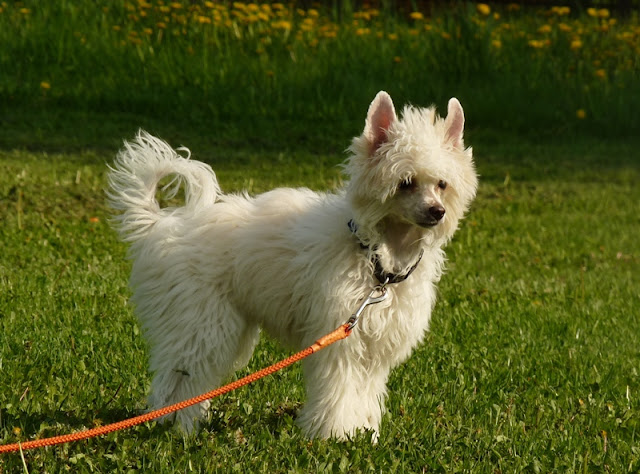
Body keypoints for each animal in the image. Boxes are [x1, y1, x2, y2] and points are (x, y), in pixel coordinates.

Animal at [107, 91, 478, 440]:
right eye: (405, 183)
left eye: (442, 184)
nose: (437, 211)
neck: (376, 256)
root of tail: (162, 224)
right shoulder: (339, 342)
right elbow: (340, 393)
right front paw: (335, 435)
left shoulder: (373, 349)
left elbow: (363, 394)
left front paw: (364, 433)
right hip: (203, 323)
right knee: (183, 377)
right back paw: (177, 426)